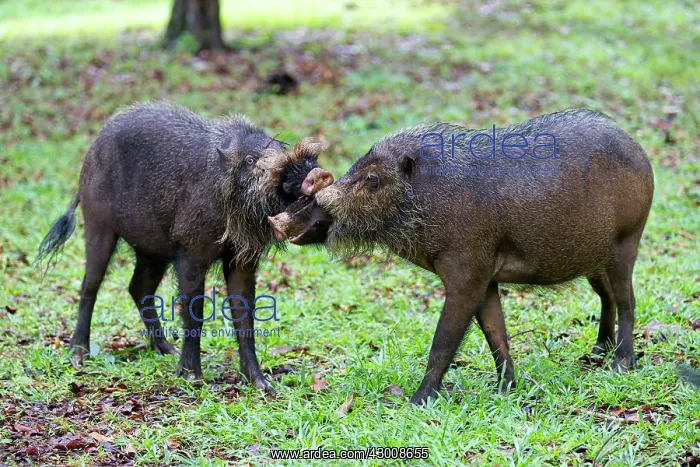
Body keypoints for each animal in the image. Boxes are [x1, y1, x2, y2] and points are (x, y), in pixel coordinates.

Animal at [37, 101, 334, 389]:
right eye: (250, 160)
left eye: (280, 148)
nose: (317, 173)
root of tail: (90, 152)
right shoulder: (191, 251)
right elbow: (194, 312)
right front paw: (192, 380)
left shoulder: (241, 258)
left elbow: (244, 317)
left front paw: (263, 386)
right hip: (97, 223)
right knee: (90, 286)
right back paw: (79, 356)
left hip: (151, 250)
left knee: (137, 287)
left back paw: (166, 350)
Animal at [269, 109, 654, 404]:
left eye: (373, 178)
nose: (278, 220)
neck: (424, 201)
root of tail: (640, 150)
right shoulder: (486, 279)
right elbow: (496, 334)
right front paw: (506, 389)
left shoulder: (467, 274)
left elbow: (445, 340)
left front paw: (418, 400)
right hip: (594, 259)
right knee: (607, 298)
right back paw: (597, 352)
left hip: (626, 244)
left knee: (628, 301)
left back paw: (622, 363)